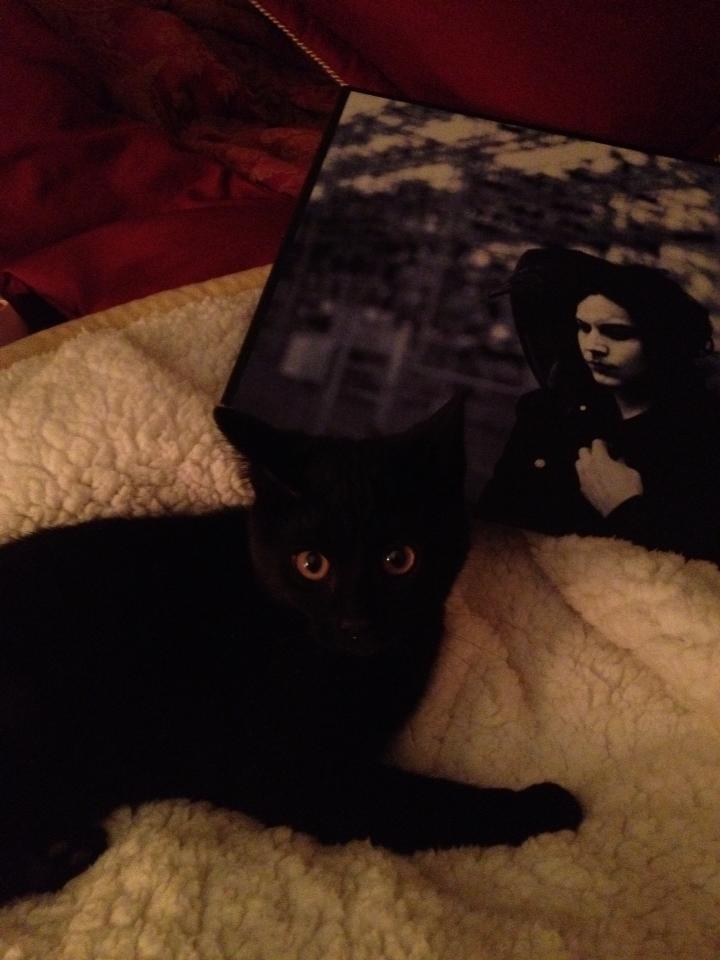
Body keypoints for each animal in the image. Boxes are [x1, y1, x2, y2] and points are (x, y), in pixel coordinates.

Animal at [0, 397, 581, 904]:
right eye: (311, 564)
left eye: (399, 559)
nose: (355, 619)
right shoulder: (292, 771)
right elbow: (423, 802)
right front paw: (542, 805)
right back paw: (71, 852)